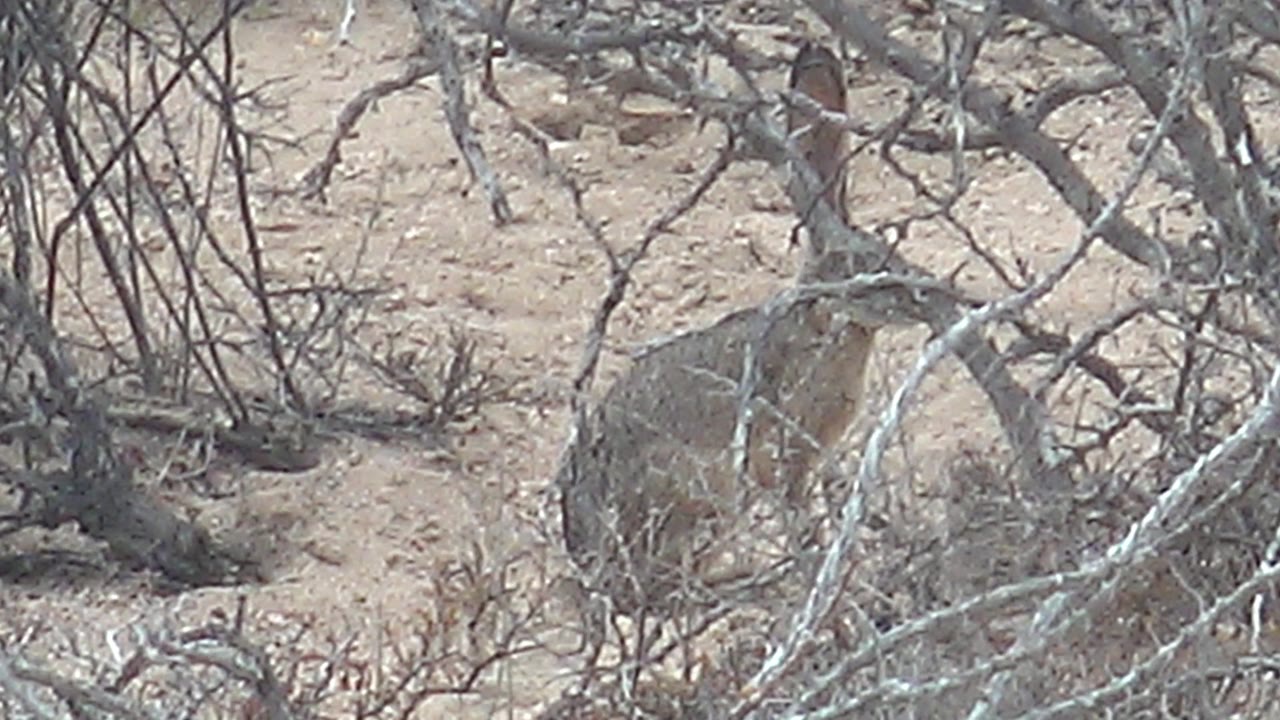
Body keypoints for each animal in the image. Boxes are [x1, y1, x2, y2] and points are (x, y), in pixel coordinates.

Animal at [557, 42, 875, 615]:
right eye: (860, 264)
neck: (818, 319)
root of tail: (589, 561)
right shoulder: (786, 450)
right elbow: (800, 514)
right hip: (706, 494)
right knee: (656, 593)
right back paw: (741, 579)